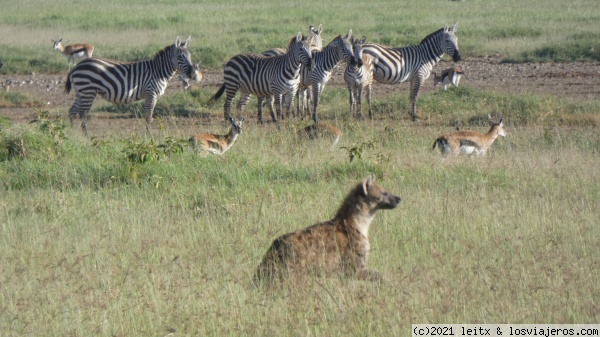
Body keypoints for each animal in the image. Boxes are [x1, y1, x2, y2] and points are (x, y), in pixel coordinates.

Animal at [64, 36, 198, 134]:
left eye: (190, 56)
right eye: (180, 56)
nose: (192, 73)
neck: (158, 71)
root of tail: (77, 66)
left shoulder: (151, 95)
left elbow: (148, 117)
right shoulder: (151, 94)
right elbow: (148, 117)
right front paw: (149, 137)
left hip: (81, 92)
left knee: (72, 111)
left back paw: (73, 135)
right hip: (88, 91)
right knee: (83, 114)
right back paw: (86, 136)